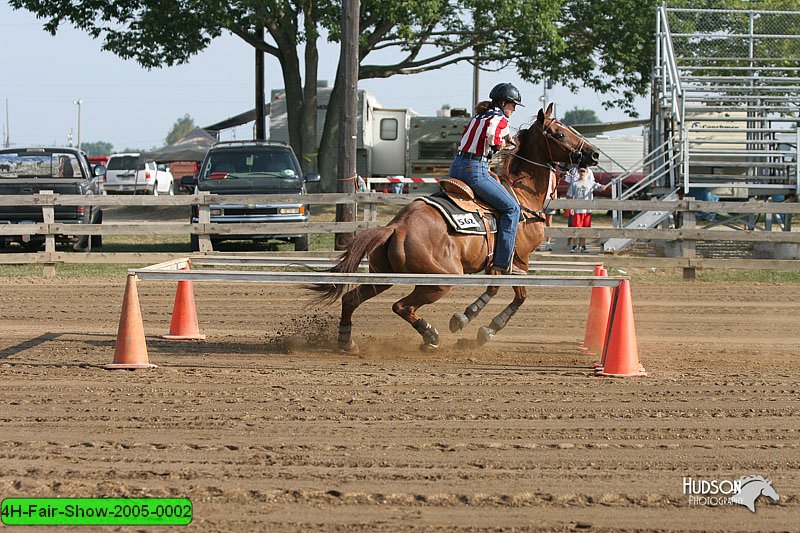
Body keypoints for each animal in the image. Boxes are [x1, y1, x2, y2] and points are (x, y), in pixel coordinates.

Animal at [312, 103, 600, 354]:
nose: (594, 153)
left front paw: (483, 327)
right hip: (439, 282)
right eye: (560, 133)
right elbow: (511, 293)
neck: (521, 196)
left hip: (383, 276)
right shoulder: (516, 259)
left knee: (351, 300)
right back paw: (430, 336)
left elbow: (514, 293)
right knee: (401, 306)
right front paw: (470, 321)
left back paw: (347, 342)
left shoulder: (509, 264)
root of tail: (396, 226)